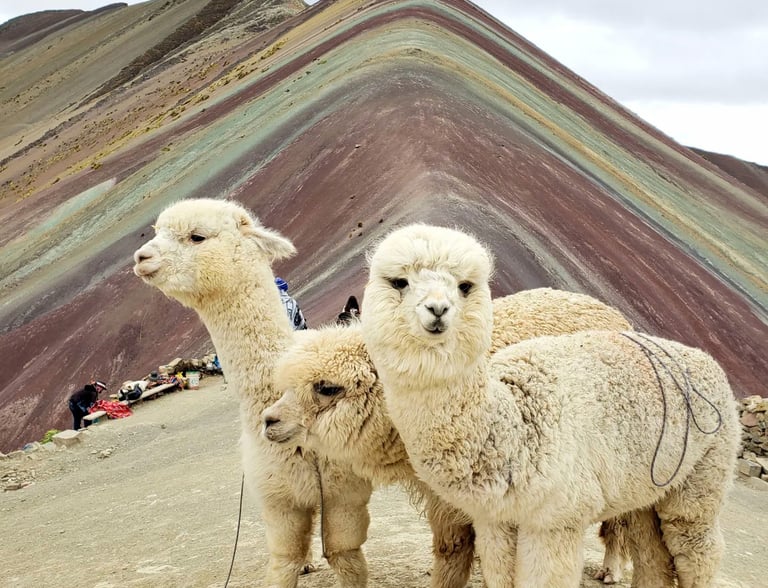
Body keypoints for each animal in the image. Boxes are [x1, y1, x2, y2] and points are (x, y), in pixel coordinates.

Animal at [133, 198, 373, 588]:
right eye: (155, 231)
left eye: (197, 236)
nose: (141, 257)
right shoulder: (277, 499)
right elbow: (283, 563)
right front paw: (298, 565)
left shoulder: (342, 492)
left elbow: (347, 560)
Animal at [359, 223, 740, 588]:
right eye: (399, 282)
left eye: (465, 286)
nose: (438, 309)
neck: (514, 425)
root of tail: (706, 359)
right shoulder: (497, 521)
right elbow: (501, 578)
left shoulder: (555, 519)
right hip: (647, 489)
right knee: (653, 554)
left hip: (706, 471)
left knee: (698, 548)